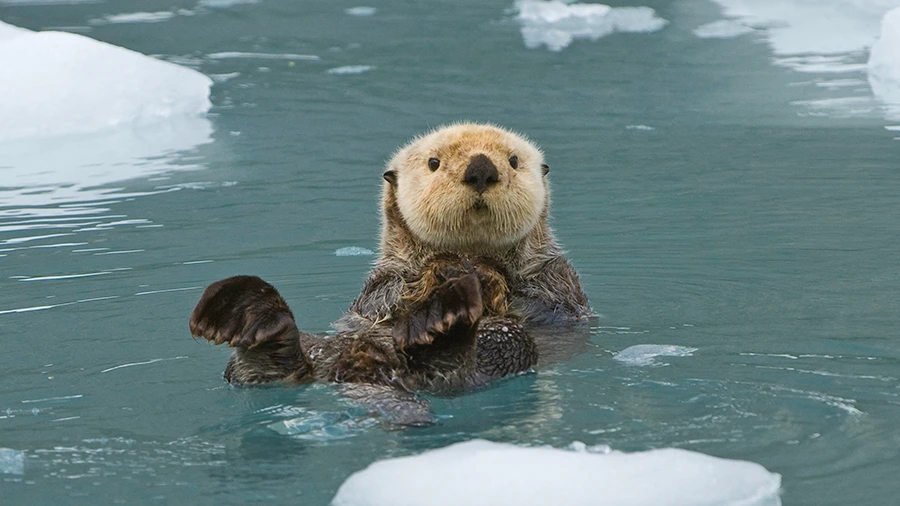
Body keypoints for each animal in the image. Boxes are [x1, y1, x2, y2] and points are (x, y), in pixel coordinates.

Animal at [189, 123, 591, 424]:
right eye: (433, 162)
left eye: (513, 160)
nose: (481, 168)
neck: (470, 250)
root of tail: (368, 368)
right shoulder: (381, 281)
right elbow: (385, 298)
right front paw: (445, 271)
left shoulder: (558, 279)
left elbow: (544, 304)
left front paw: (480, 275)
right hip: (321, 346)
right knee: (257, 368)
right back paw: (245, 311)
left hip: (506, 343)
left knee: (468, 365)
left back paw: (439, 326)